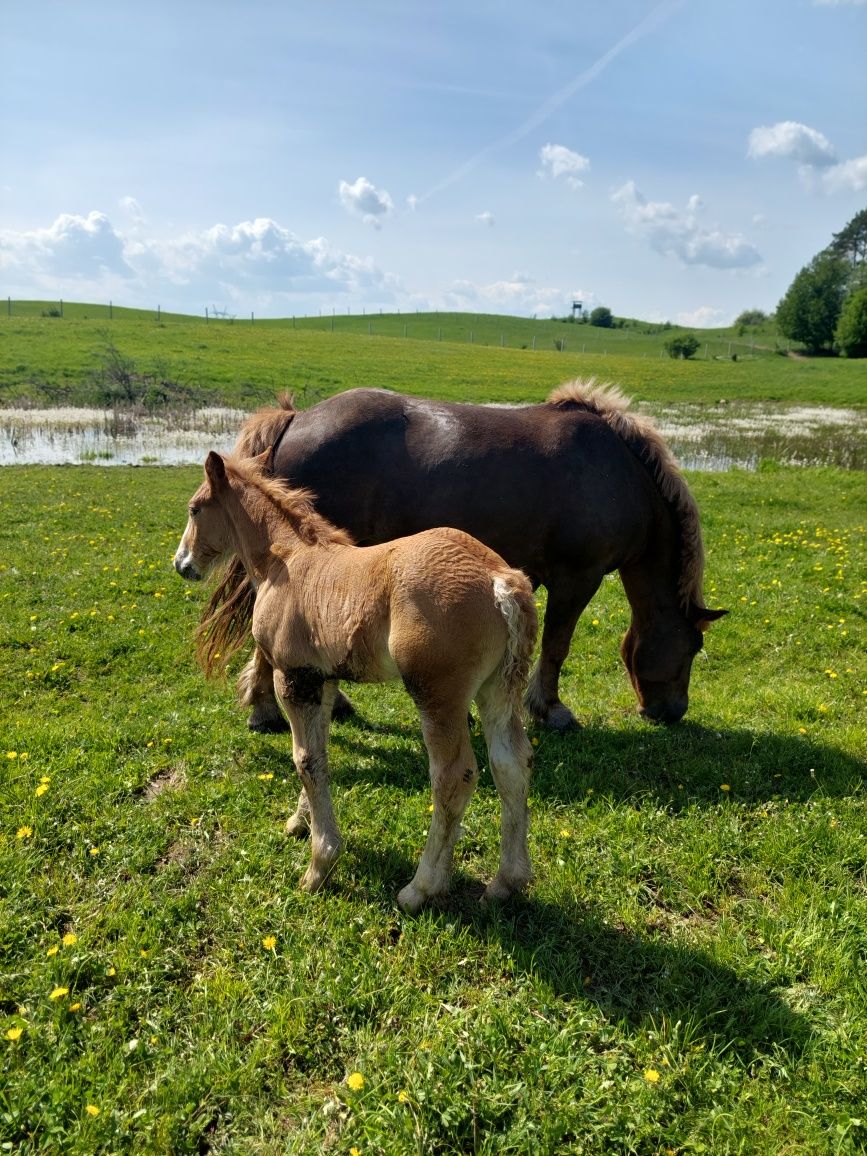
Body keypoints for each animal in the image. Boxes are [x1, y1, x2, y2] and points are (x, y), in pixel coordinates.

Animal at [174, 450, 541, 910]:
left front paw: (319, 865)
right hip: (498, 691)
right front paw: (300, 821)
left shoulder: (292, 679)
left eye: (194, 508)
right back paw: (506, 882)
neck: (286, 561)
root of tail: (500, 580)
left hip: (437, 695)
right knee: (512, 764)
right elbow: (319, 752)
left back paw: (420, 888)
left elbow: (305, 760)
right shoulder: (323, 680)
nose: (181, 564)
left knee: (453, 777)